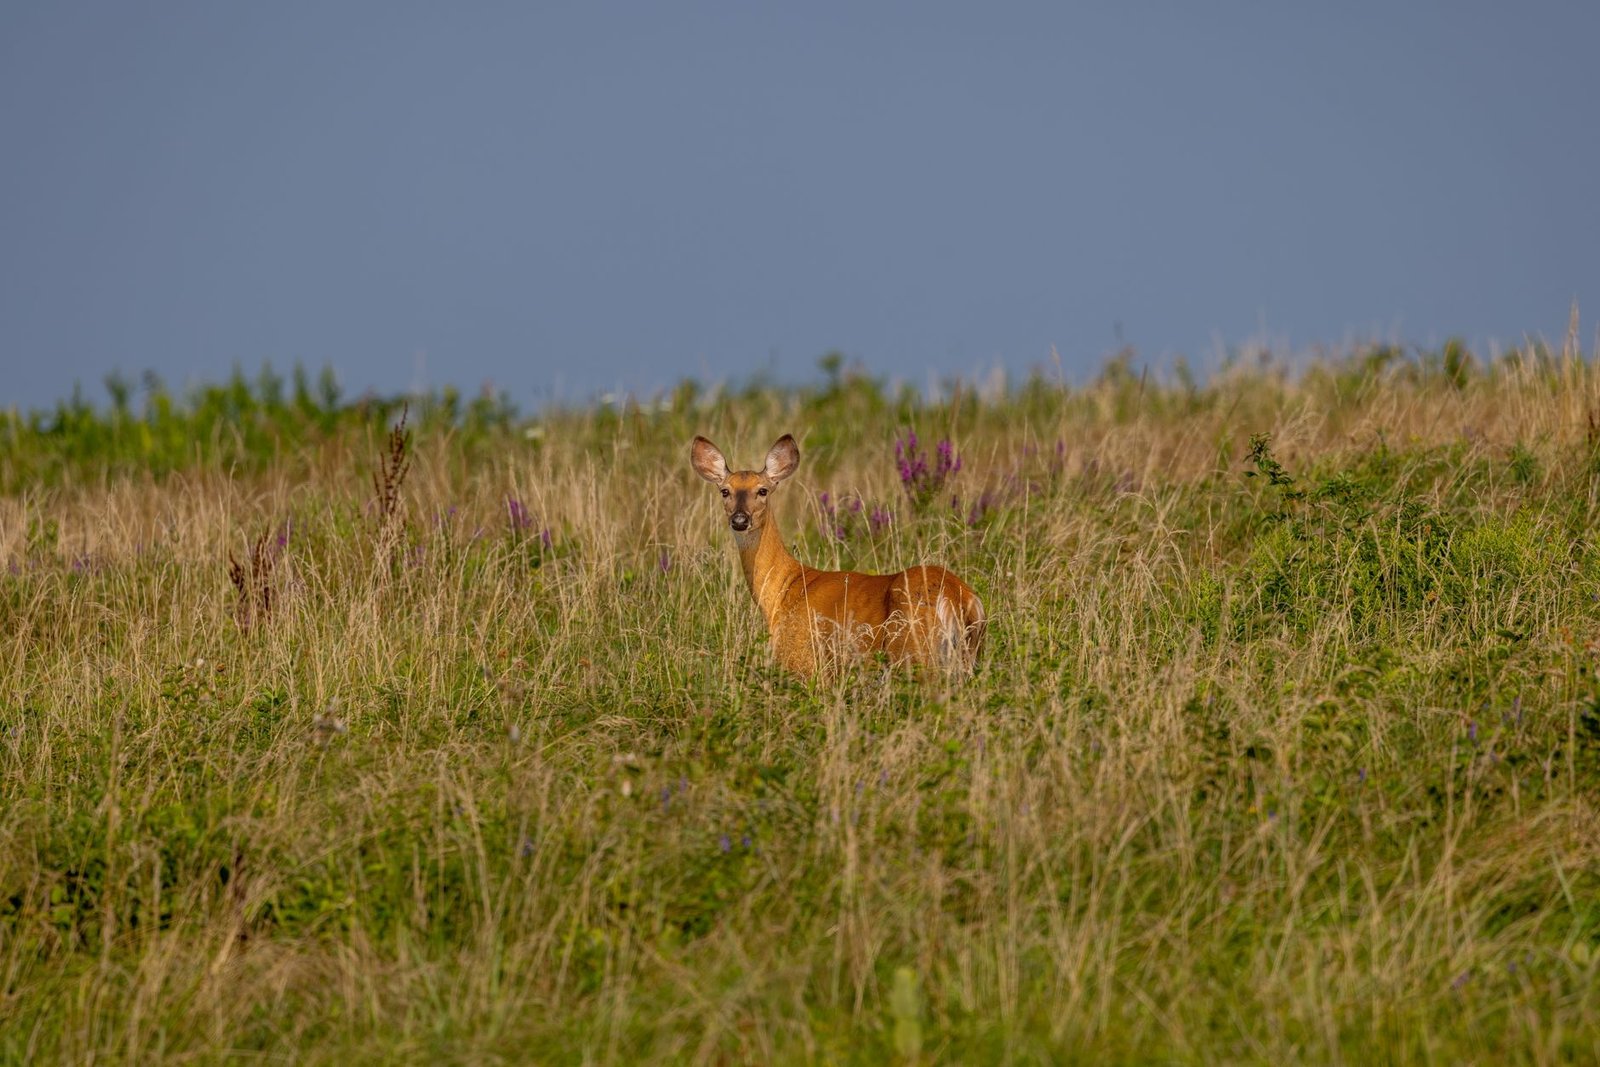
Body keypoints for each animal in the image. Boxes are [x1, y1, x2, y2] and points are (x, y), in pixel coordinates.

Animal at [691, 433, 985, 677]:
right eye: (725, 491)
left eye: (762, 490)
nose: (740, 520)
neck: (783, 591)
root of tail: (959, 596)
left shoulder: (802, 658)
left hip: (913, 651)